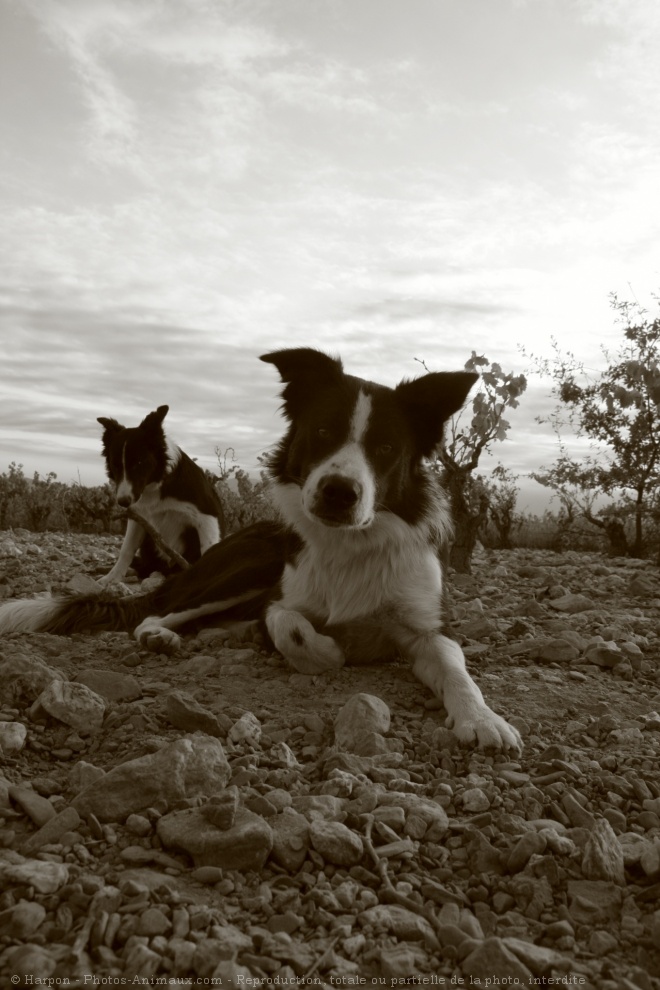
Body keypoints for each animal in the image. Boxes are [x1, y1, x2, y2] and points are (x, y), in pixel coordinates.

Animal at [96, 406, 223, 584]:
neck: (157, 485)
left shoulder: (207, 516)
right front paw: (112, 578)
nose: (123, 501)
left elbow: (208, 550)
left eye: (140, 463)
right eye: (115, 465)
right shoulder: (139, 518)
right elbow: (126, 549)